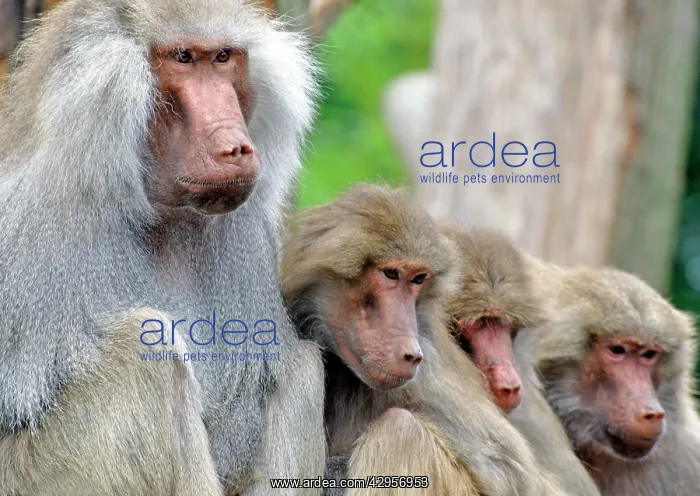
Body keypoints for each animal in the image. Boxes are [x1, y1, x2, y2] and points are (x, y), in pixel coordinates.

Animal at [0, 0, 325, 494]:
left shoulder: (242, 230)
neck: (153, 210)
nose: (236, 148)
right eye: (183, 58)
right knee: (148, 351)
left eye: (223, 57)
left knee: (303, 370)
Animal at [282, 184, 567, 496]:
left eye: (418, 279)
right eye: (391, 273)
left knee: (399, 431)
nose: (411, 354)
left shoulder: (427, 371)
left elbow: (518, 477)